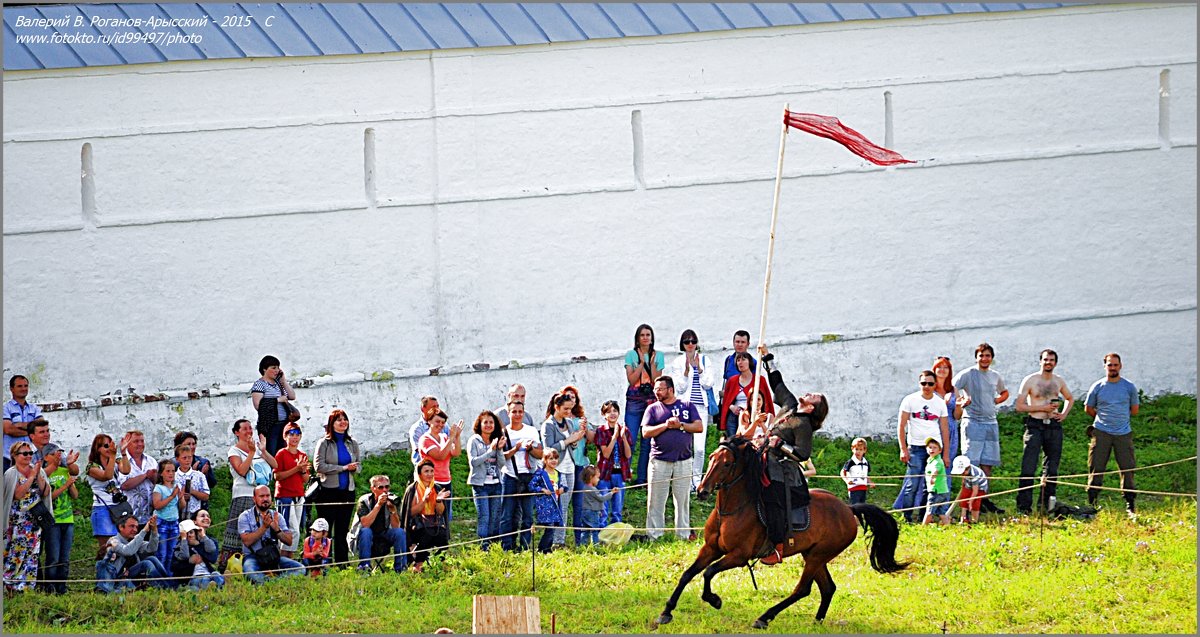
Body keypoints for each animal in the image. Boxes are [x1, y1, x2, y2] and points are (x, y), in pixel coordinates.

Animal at [657, 436, 907, 628]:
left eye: (727, 464)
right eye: (711, 458)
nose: (702, 491)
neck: (730, 511)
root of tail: (848, 509)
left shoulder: (738, 556)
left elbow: (708, 572)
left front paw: (713, 599)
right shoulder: (711, 548)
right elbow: (688, 573)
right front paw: (666, 612)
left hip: (818, 556)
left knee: (803, 589)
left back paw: (765, 617)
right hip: (813, 555)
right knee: (827, 588)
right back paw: (816, 621)